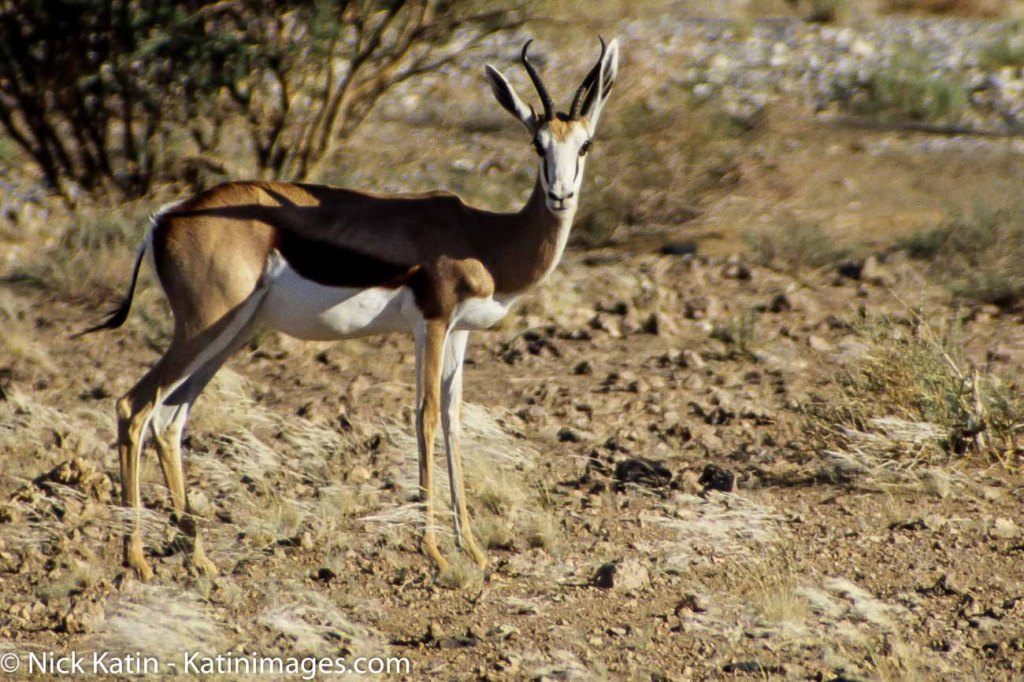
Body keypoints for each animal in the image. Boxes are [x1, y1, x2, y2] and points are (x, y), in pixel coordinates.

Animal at [81, 38, 619, 580]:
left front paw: (473, 548)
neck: (485, 237)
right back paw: (136, 558)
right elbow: (425, 417)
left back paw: (200, 558)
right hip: (202, 327)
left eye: (585, 145)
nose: (560, 195)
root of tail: (164, 219)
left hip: (231, 332)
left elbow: (452, 420)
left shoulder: (459, 332)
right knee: (133, 407)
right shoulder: (432, 323)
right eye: (538, 145)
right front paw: (434, 551)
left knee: (170, 419)